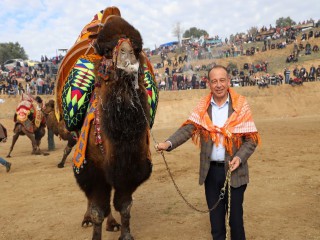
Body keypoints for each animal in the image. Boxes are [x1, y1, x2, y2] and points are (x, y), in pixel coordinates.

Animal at [54, 5, 158, 240]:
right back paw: (87, 219)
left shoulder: (131, 171)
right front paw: (94, 229)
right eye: (109, 51)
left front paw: (125, 233)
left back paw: (113, 223)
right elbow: (97, 210)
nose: (127, 55)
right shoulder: (92, 170)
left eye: (136, 48)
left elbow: (125, 205)